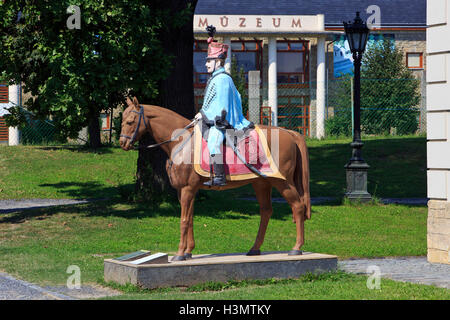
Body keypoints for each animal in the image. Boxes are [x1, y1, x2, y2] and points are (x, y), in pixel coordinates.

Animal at [118, 97, 310, 260]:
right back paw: (255, 248)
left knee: (298, 206)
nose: (122, 143)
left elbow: (184, 220)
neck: (182, 141)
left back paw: (296, 248)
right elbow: (190, 218)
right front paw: (188, 251)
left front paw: (180, 253)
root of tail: (290, 133)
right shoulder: (185, 191)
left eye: (130, 121)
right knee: (266, 212)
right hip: (261, 183)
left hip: (283, 182)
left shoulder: (187, 189)